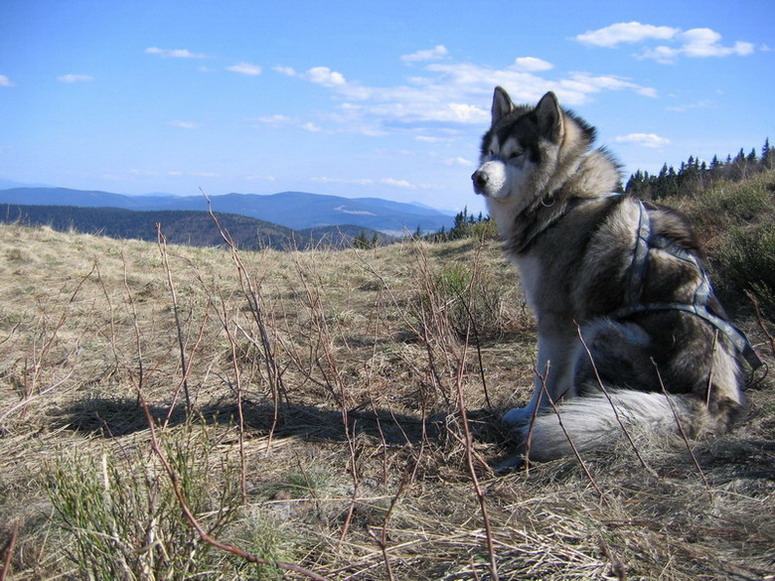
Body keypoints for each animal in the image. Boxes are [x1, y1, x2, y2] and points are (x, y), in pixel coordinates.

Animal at [472, 86, 756, 460]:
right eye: (491, 152)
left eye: (516, 154)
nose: (478, 177)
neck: (563, 196)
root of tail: (716, 400)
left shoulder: (556, 319)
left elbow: (544, 379)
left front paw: (530, 415)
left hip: (597, 332)